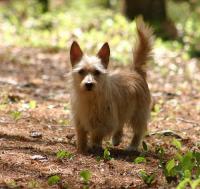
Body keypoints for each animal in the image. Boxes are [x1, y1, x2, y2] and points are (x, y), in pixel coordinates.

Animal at [69, 17, 153, 153]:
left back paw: (133, 146)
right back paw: (116, 139)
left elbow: (96, 134)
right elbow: (81, 135)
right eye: (81, 71)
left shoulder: (105, 122)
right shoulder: (79, 120)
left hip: (139, 114)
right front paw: (81, 148)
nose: (89, 84)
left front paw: (95, 146)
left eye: (97, 72)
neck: (91, 98)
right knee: (121, 124)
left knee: (139, 131)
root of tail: (135, 71)